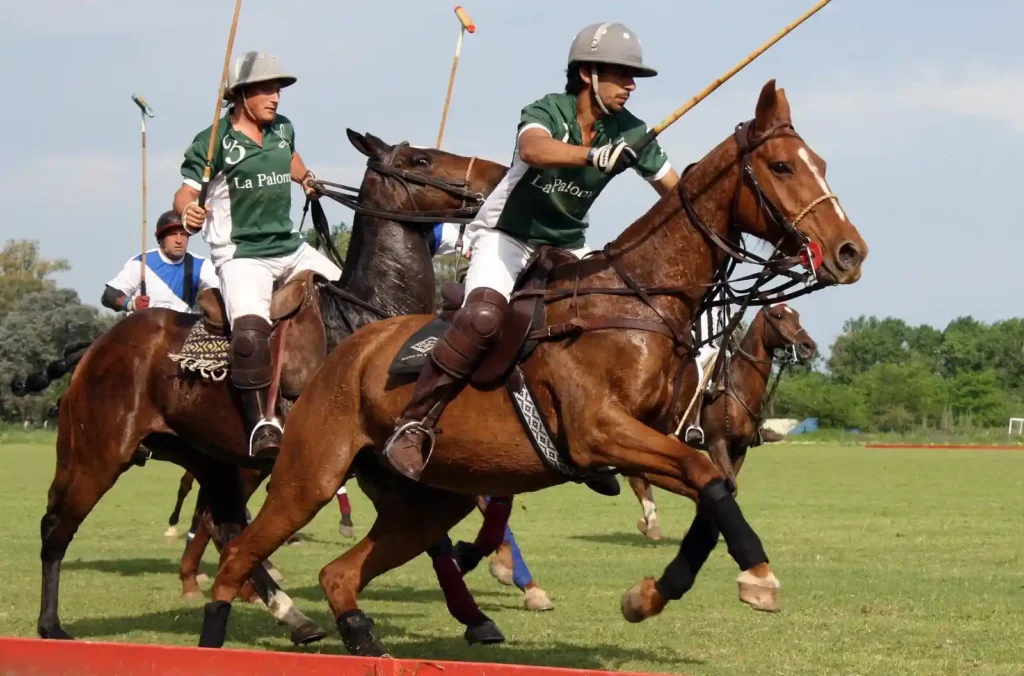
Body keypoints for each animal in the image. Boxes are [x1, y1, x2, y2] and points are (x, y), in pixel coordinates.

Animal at [36, 130, 512, 643]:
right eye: (420, 160)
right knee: (57, 525)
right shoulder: (370, 461)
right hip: (98, 453)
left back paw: (291, 614)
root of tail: (94, 348)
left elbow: (444, 529)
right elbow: (443, 527)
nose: (498, 174)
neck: (368, 315)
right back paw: (51, 624)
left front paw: (479, 612)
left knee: (223, 527)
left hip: (212, 460)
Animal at [630, 303, 815, 540]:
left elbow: (729, 486)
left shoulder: (739, 449)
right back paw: (651, 523)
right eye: (779, 315)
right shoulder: (716, 443)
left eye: (797, 316)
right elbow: (726, 485)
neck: (738, 387)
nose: (808, 346)